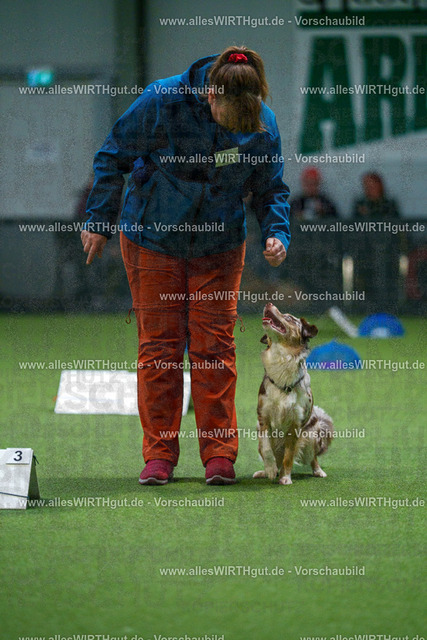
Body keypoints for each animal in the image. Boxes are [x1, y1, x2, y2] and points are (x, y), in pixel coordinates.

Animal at [253, 303, 334, 485]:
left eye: (289, 317)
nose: (269, 303)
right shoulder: (263, 418)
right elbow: (266, 448)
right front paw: (270, 470)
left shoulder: (295, 424)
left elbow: (288, 456)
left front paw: (285, 478)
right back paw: (265, 472)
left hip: (313, 432)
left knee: (312, 457)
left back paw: (318, 471)